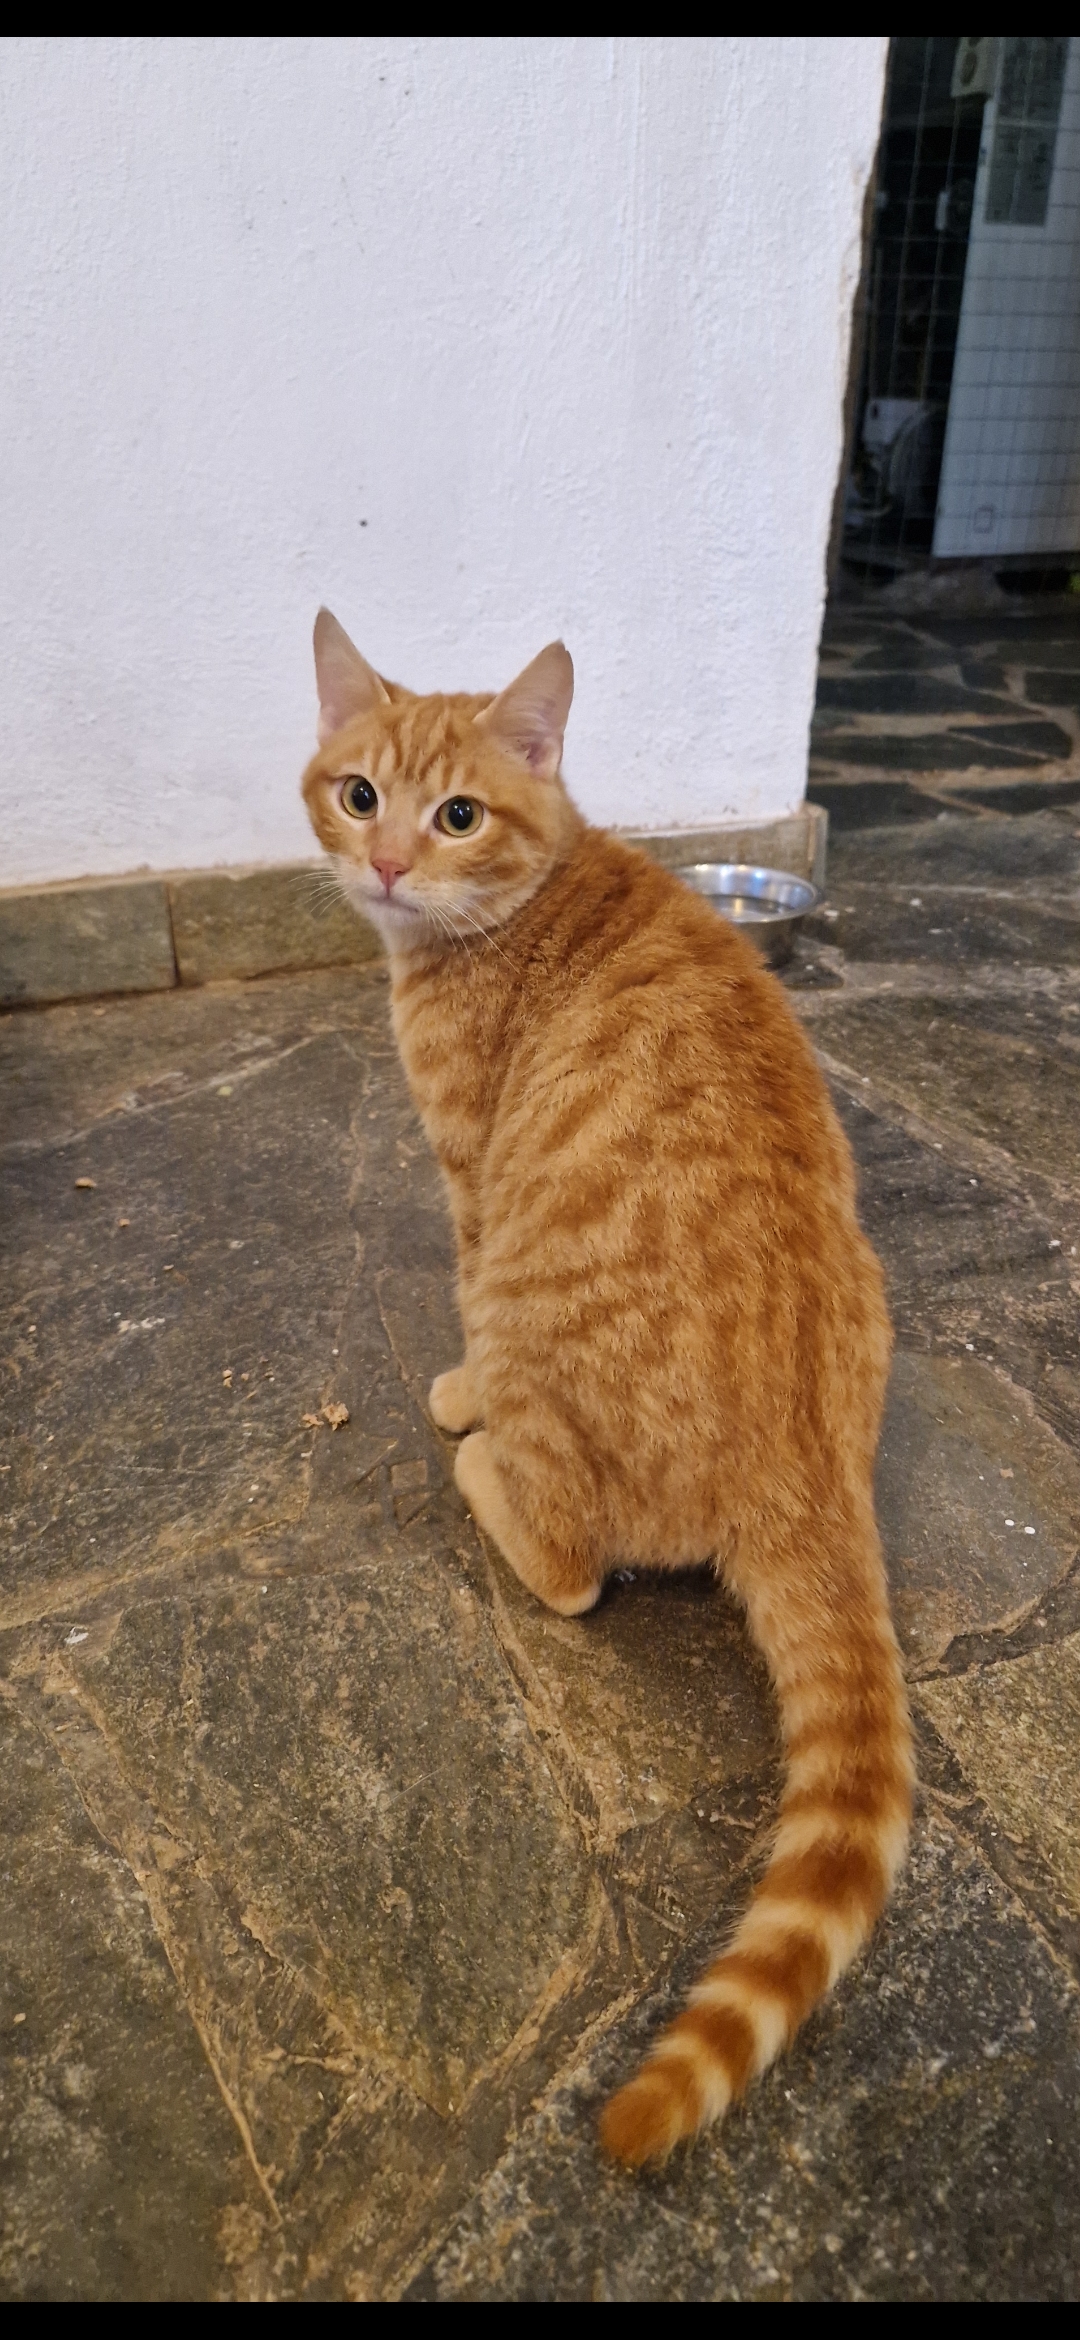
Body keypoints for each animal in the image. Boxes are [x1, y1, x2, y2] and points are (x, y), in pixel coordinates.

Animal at [301, 609, 914, 2167]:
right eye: (359, 794)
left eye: (457, 815)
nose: (386, 862)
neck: (519, 906)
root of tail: (814, 1477)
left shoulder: (474, 1180)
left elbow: (462, 1311)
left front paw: (455, 1399)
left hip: (536, 1320)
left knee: (576, 1567)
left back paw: (483, 1462)